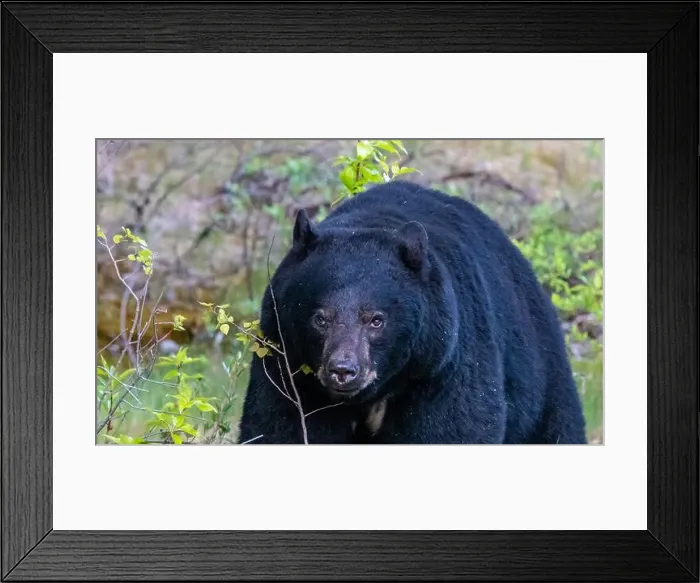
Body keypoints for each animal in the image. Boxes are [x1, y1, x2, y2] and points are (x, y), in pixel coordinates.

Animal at [237, 180, 587, 444]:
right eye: (320, 318)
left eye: (376, 320)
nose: (343, 370)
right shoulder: (286, 364)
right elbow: (278, 426)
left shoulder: (442, 364)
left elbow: (454, 428)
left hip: (541, 376)